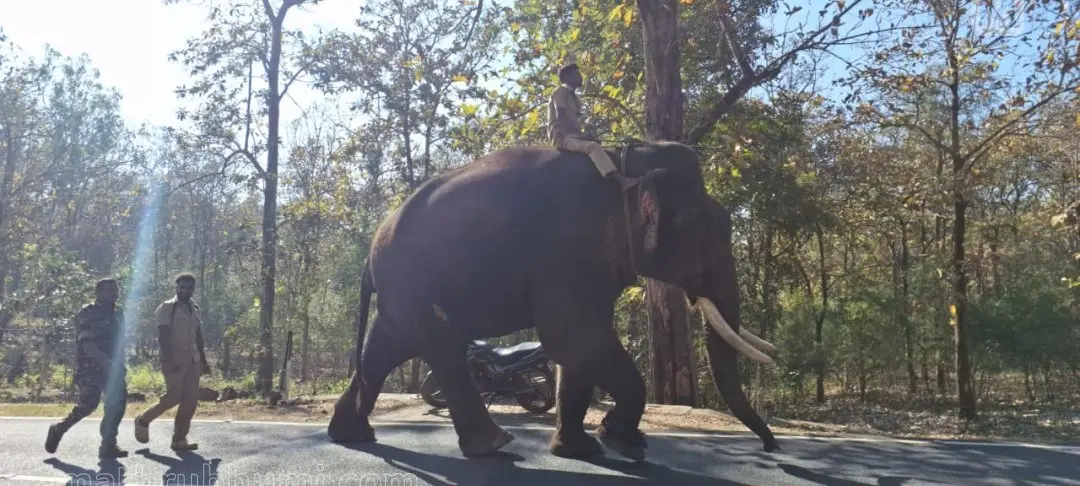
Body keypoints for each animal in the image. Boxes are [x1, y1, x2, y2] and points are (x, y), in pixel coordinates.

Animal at [327, 139, 780, 461]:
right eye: (708, 229)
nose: (772, 448)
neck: (623, 165)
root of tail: (372, 250)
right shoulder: (568, 245)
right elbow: (573, 337)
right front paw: (623, 441)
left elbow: (576, 347)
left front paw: (581, 450)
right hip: (414, 279)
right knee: (441, 347)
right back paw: (494, 445)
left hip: (402, 290)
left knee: (387, 345)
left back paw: (352, 435)